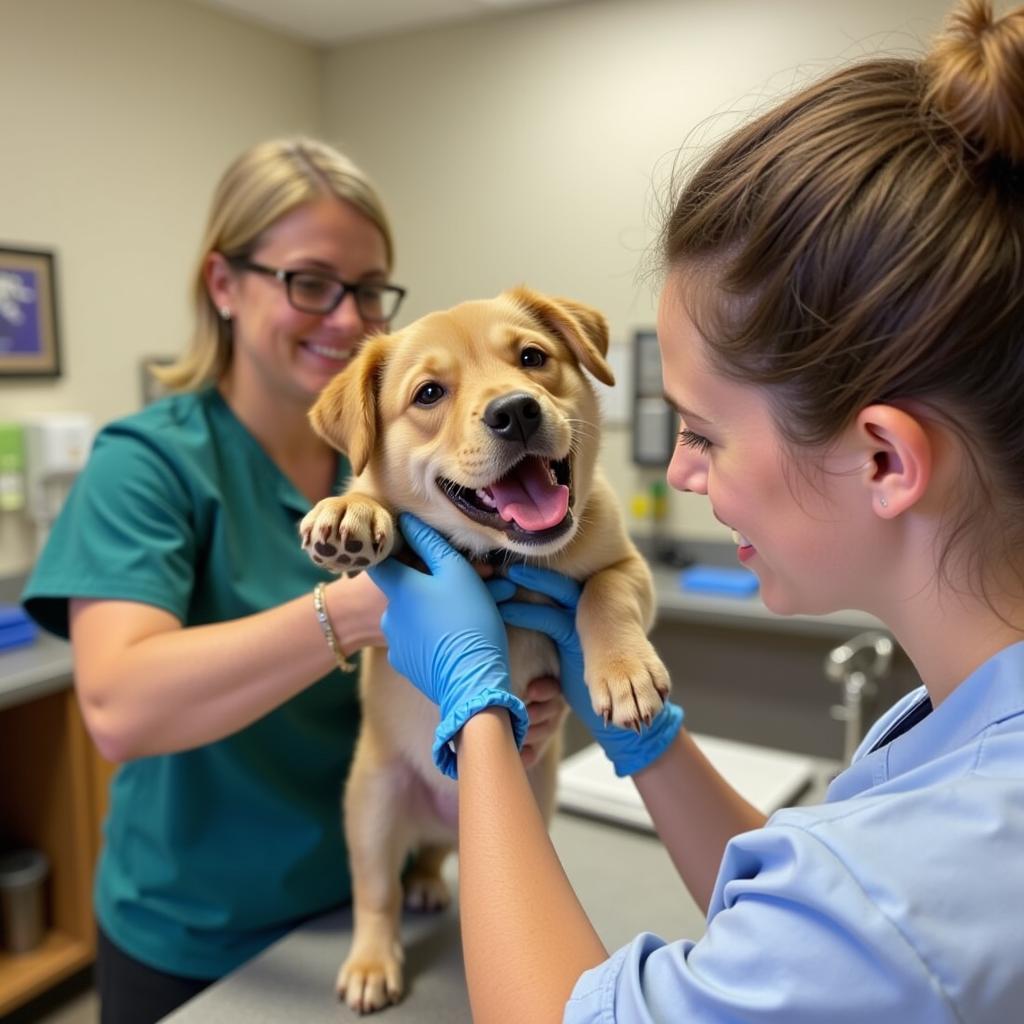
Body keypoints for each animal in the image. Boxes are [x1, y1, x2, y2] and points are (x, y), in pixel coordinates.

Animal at [301, 284, 671, 1011]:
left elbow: (602, 594)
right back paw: (372, 962)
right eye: (428, 394)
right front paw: (350, 511)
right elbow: (376, 504)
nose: (515, 410)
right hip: (374, 804)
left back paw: (429, 882)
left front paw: (624, 672)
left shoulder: (631, 567)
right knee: (377, 895)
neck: (503, 559)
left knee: (436, 866)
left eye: (532, 358)